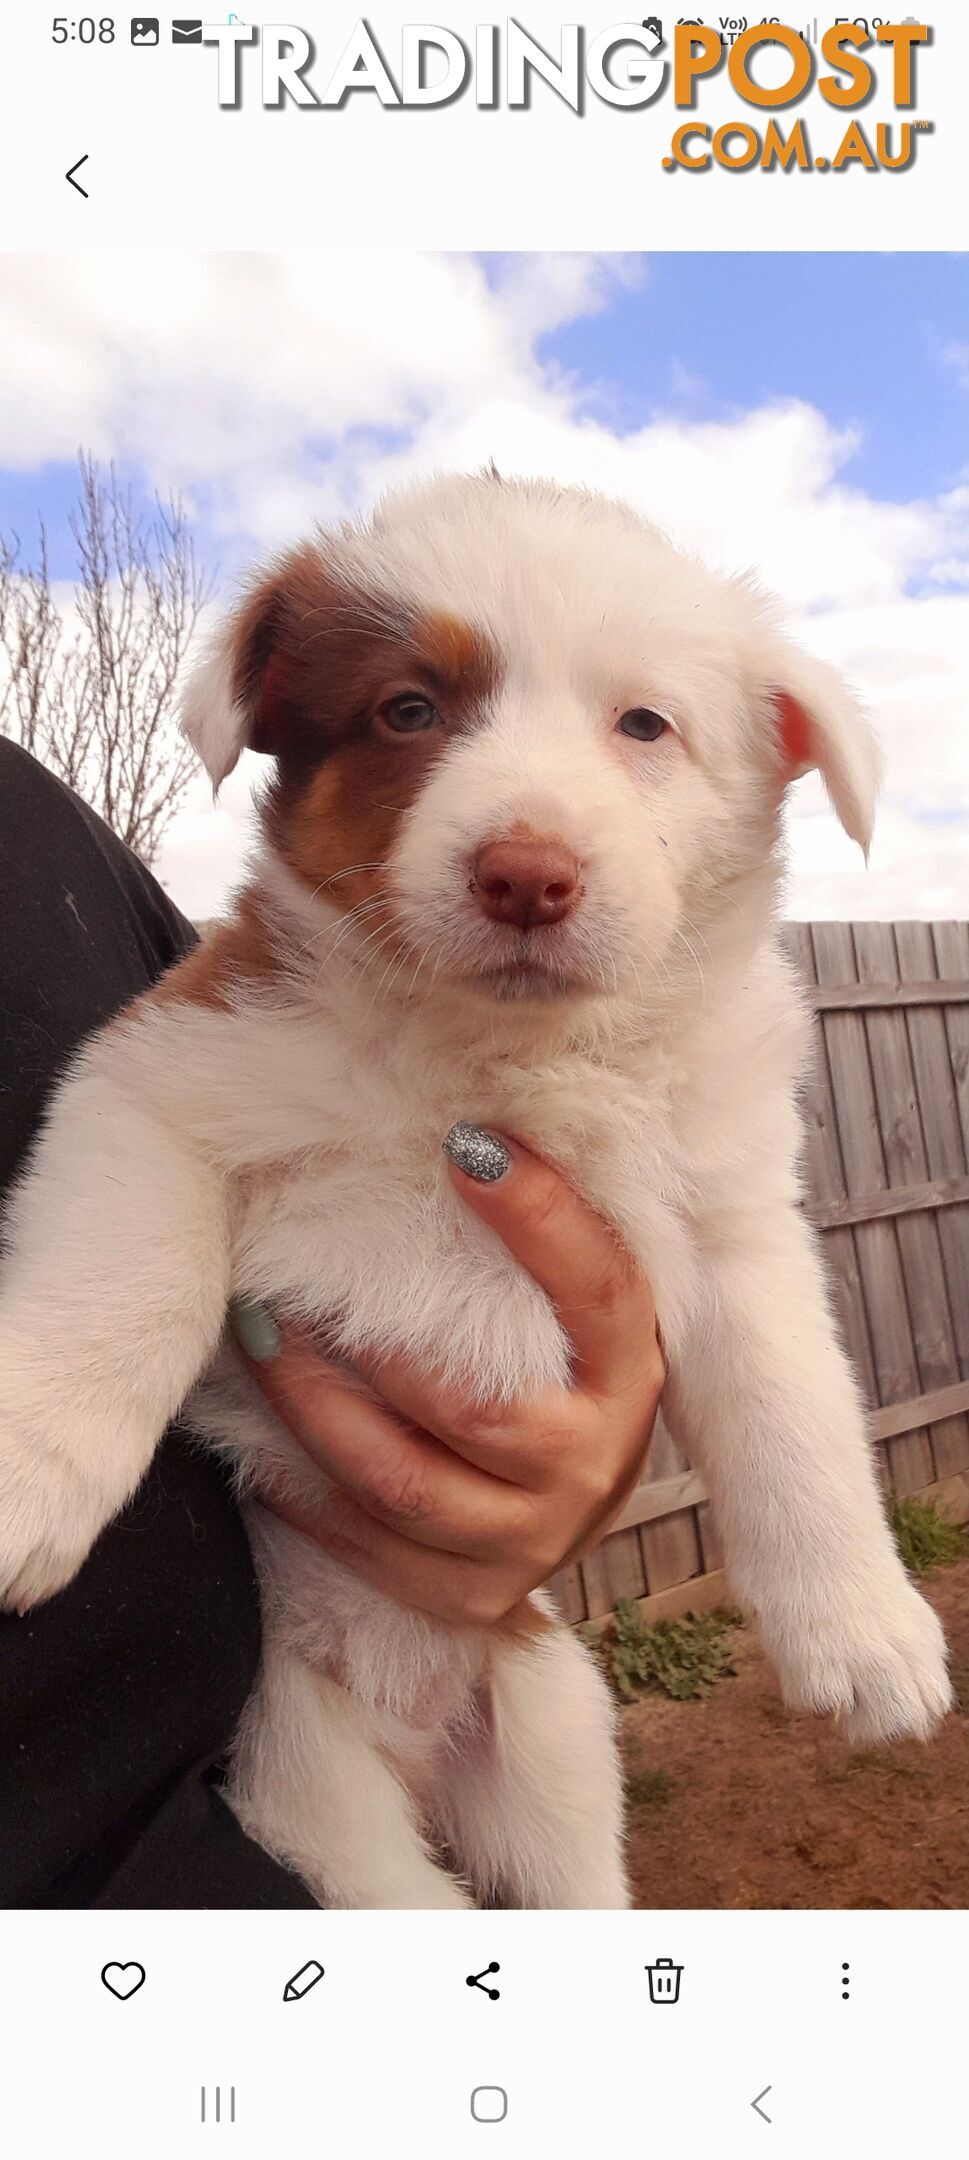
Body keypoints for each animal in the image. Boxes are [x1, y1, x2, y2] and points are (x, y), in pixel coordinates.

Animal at [0, 477, 949, 1909]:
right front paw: (27, 1474)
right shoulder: (157, 1081)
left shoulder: (736, 1223)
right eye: (408, 710)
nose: (526, 873)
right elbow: (119, 1288)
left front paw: (867, 1632)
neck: (497, 1060)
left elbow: (797, 1416)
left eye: (644, 725)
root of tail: (416, 1723)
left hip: (555, 1733)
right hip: (308, 1789)